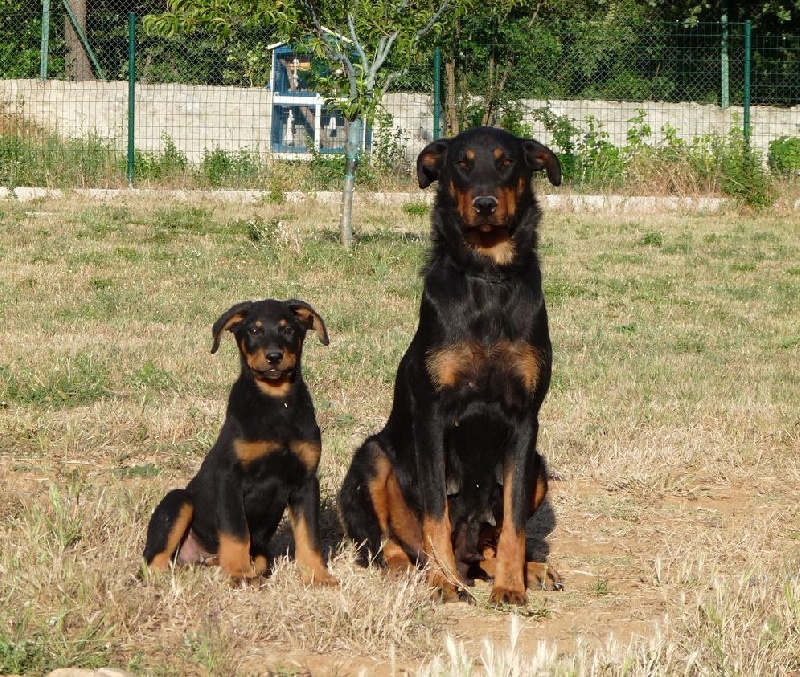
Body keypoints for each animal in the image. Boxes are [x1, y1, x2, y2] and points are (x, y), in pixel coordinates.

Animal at [145, 298, 336, 588]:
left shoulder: (306, 481)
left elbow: (309, 535)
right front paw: (238, 573)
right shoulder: (230, 478)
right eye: (254, 331)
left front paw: (317, 575)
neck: (276, 402)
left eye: (289, 329)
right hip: (179, 501)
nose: (274, 356)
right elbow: (236, 532)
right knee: (154, 560)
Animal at [338, 127, 564, 604]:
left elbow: (514, 523)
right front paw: (444, 583)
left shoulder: (524, 418)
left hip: (538, 465)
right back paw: (416, 571)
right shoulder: (432, 416)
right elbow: (435, 513)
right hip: (372, 458)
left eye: (506, 162)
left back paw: (527, 569)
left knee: (490, 540)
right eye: (462, 163)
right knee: (386, 544)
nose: (485, 204)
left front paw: (511, 586)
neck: (488, 275)